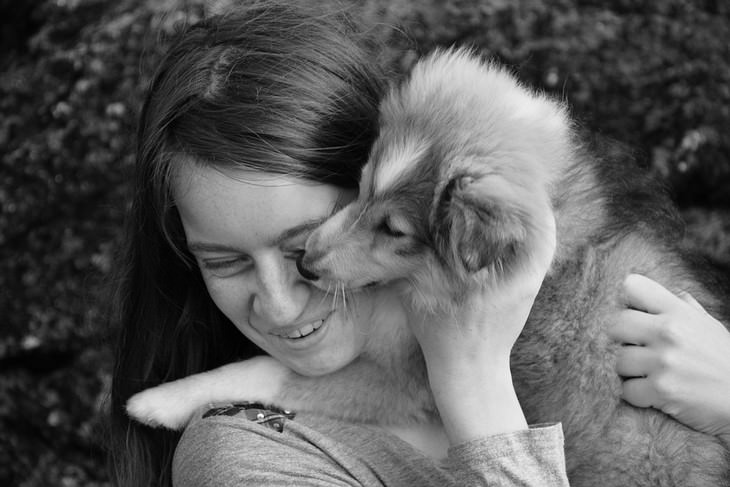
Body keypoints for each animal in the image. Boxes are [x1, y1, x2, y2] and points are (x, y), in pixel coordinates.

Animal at [128, 47, 724, 486]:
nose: (308, 265)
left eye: (395, 231)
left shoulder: (408, 378)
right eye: (360, 186)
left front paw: (156, 401)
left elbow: (269, 368)